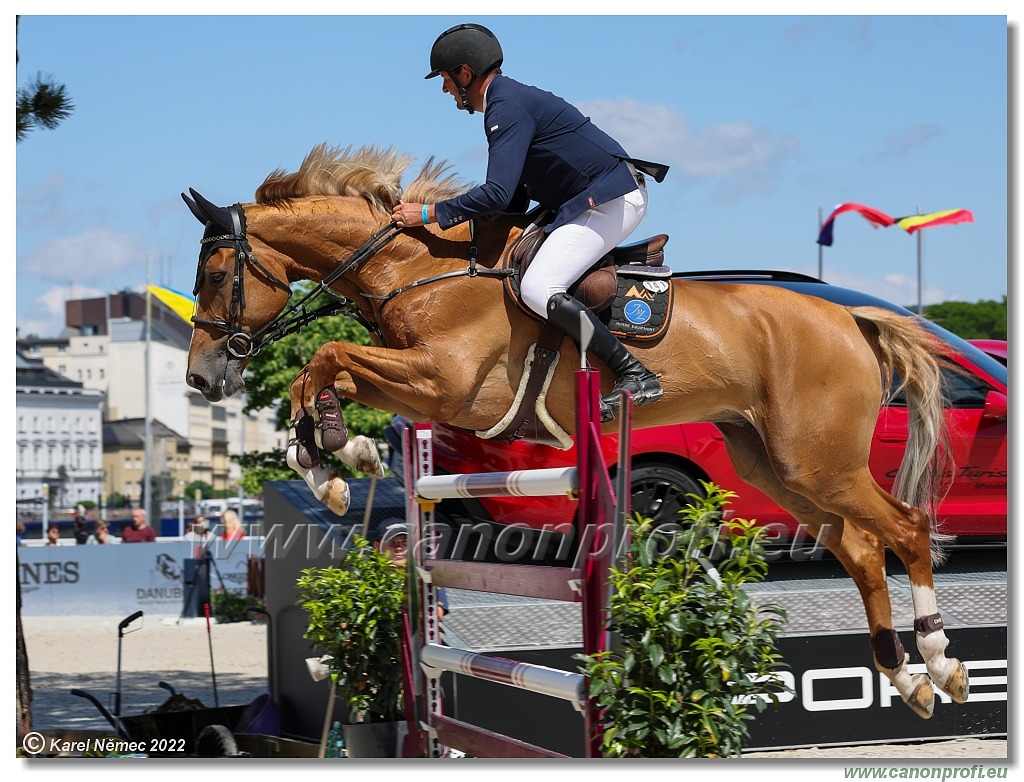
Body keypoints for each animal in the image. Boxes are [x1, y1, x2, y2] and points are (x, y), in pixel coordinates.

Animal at [182, 143, 966, 716]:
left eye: (215, 276)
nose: (200, 378)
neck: (418, 269)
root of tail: (851, 318)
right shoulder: (421, 383)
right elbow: (321, 373)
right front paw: (333, 458)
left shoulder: (449, 384)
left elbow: (324, 357)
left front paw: (340, 456)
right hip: (776, 465)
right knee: (860, 548)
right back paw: (907, 679)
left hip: (817, 460)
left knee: (905, 528)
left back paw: (941, 662)